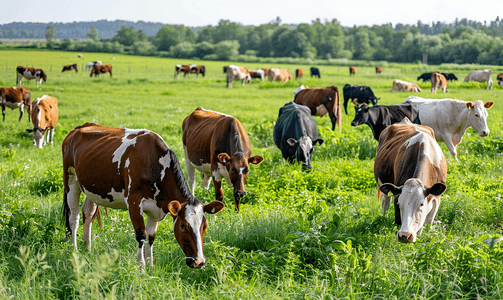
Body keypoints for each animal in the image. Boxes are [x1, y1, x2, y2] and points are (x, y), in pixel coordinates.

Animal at [62, 123, 224, 268]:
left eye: (205, 226)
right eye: (183, 226)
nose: (199, 261)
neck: (154, 164)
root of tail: (79, 128)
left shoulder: (156, 207)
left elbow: (151, 237)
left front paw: (150, 266)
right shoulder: (133, 202)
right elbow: (141, 235)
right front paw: (141, 266)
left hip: (91, 189)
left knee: (88, 214)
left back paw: (87, 249)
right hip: (70, 180)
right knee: (73, 217)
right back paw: (75, 251)